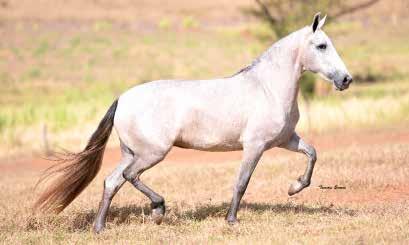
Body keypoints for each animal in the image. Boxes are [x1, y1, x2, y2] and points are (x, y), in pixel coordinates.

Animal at [35, 12, 350, 233]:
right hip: (152, 153)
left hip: (131, 152)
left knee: (112, 181)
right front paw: (232, 220)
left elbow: (312, 154)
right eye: (321, 45)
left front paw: (294, 188)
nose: (346, 79)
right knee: (129, 176)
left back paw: (100, 228)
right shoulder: (255, 146)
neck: (267, 87)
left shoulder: (285, 140)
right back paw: (158, 209)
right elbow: (241, 182)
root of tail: (123, 98)